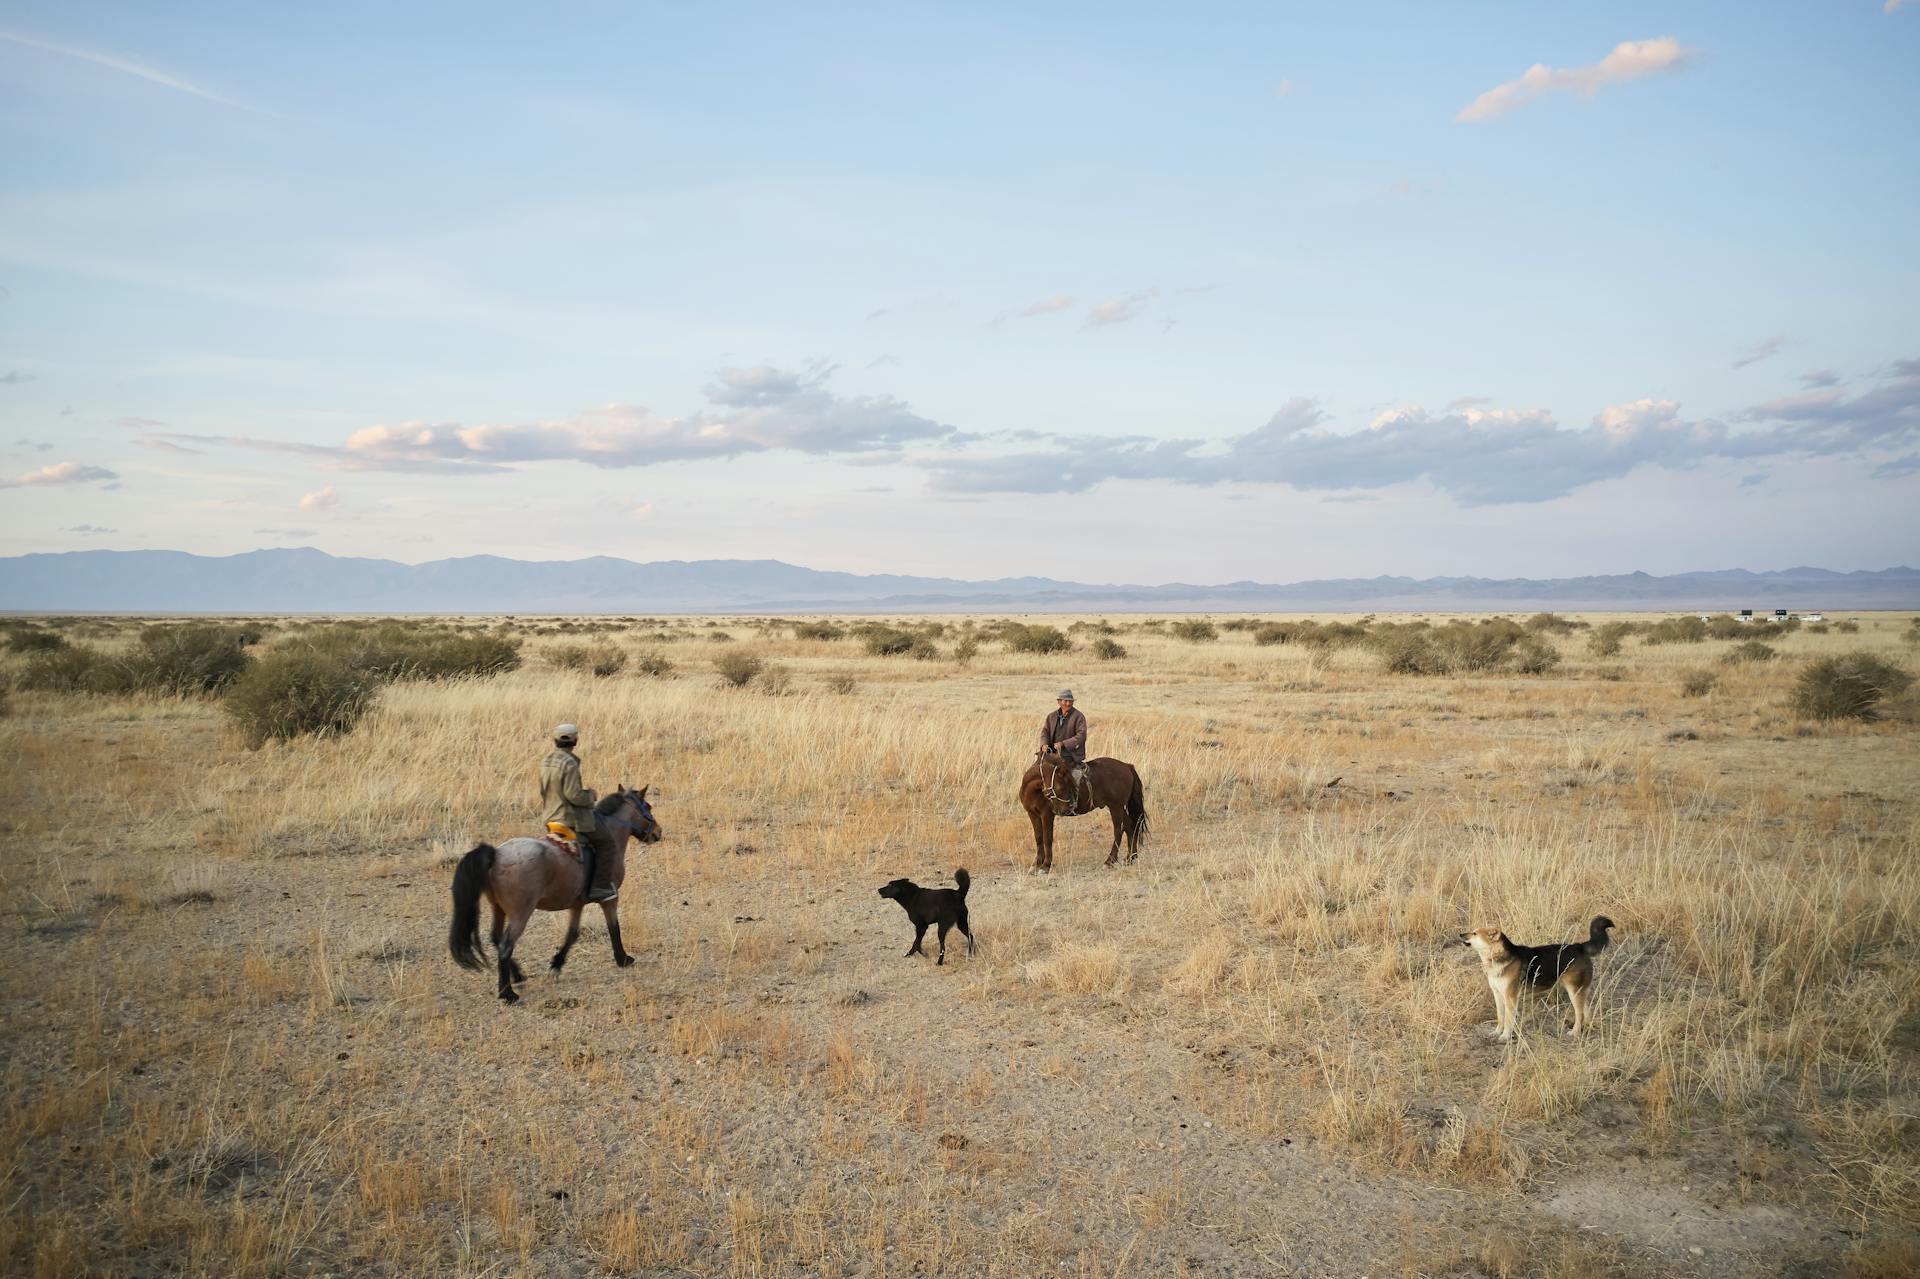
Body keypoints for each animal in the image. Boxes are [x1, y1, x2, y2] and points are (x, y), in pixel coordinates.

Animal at [445, 783, 664, 998]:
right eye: (649, 806)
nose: (658, 832)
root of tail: (496, 854)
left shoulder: (577, 903)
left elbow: (572, 934)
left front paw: (556, 965)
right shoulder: (610, 898)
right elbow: (614, 927)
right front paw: (623, 959)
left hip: (498, 907)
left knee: (496, 938)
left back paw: (518, 976)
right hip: (521, 913)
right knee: (506, 945)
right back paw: (508, 994)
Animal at [1459, 910, 1612, 1029]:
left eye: (1474, 933)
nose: (1460, 934)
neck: (1497, 958)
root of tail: (1579, 946)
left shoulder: (1510, 997)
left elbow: (1508, 1021)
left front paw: (1505, 1037)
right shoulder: (1498, 994)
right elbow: (1500, 1018)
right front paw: (1497, 1033)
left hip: (1573, 991)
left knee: (1579, 1014)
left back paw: (1574, 1032)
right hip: (1579, 991)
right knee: (1586, 1011)